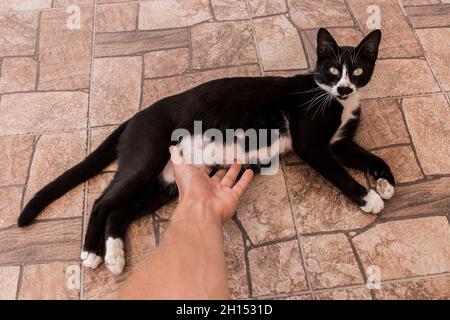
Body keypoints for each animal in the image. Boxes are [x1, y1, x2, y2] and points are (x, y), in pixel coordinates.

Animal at [19, 28, 396, 276]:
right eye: (332, 70)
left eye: (357, 70)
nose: (344, 87)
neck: (335, 101)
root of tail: (134, 118)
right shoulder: (312, 144)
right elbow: (339, 173)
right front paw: (368, 198)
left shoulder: (339, 144)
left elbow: (373, 157)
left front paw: (386, 183)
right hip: (146, 161)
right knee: (102, 202)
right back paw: (92, 253)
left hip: (166, 183)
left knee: (119, 213)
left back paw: (115, 256)